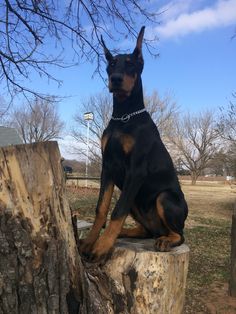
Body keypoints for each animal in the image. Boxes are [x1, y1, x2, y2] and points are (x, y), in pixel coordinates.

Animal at [79, 27, 188, 262]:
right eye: (112, 64)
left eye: (130, 63)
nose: (116, 79)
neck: (124, 116)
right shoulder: (108, 168)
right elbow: (101, 208)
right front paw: (90, 242)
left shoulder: (135, 170)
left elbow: (116, 211)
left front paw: (101, 248)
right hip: (135, 202)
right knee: (147, 231)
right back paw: (126, 233)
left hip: (164, 197)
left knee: (179, 233)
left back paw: (166, 240)